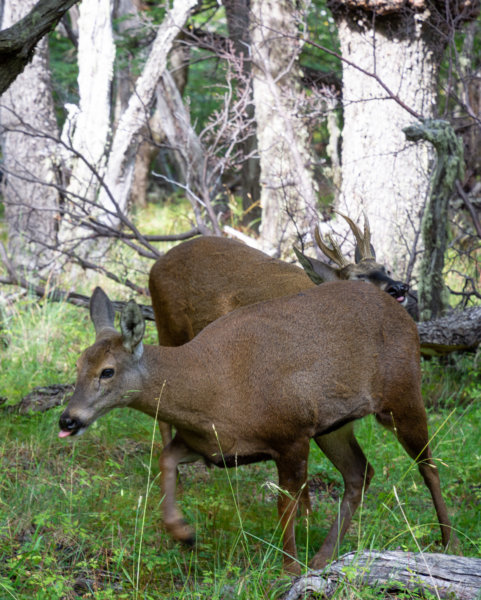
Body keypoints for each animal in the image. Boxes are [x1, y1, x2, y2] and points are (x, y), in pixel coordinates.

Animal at [58, 284, 452, 576]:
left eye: (107, 371)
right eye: (78, 364)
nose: (67, 420)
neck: (212, 391)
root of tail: (402, 312)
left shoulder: (291, 434)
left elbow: (285, 504)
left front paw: (288, 569)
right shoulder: (212, 446)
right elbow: (165, 459)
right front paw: (184, 533)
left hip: (403, 394)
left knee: (428, 466)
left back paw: (449, 543)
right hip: (334, 426)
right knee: (361, 472)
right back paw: (324, 558)